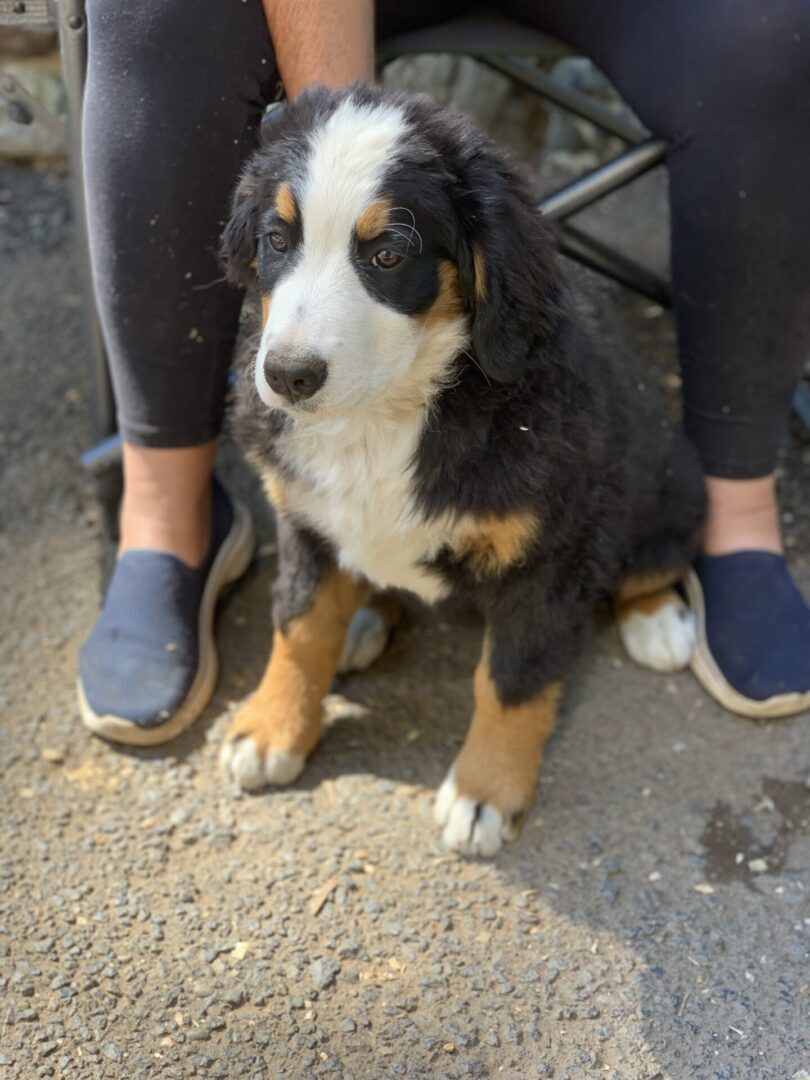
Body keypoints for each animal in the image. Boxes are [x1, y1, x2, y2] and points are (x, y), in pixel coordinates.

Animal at [219, 84, 708, 855]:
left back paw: (657, 618)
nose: (288, 376)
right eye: (276, 240)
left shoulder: (548, 557)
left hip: (669, 480)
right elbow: (298, 625)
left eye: (389, 254)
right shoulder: (304, 518)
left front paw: (483, 794)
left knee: (653, 559)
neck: (390, 414)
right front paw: (272, 728)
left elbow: (510, 680)